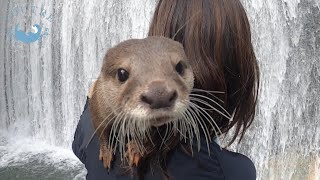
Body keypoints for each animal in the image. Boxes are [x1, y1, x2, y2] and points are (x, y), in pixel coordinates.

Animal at [89, 35, 198, 175]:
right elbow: (101, 130)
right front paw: (106, 152)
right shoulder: (98, 107)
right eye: (122, 73)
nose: (159, 96)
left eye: (179, 67)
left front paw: (136, 148)